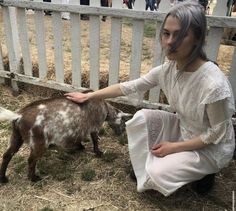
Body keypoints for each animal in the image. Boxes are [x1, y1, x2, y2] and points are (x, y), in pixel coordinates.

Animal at [0, 93, 132, 182]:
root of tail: (19, 116)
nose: (121, 133)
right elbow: (95, 139)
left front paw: (80, 147)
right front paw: (98, 152)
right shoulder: (94, 127)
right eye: (123, 122)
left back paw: (4, 179)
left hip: (16, 136)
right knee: (31, 160)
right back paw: (34, 178)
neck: (104, 107)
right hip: (39, 142)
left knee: (7, 155)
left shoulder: (79, 128)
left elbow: (78, 138)